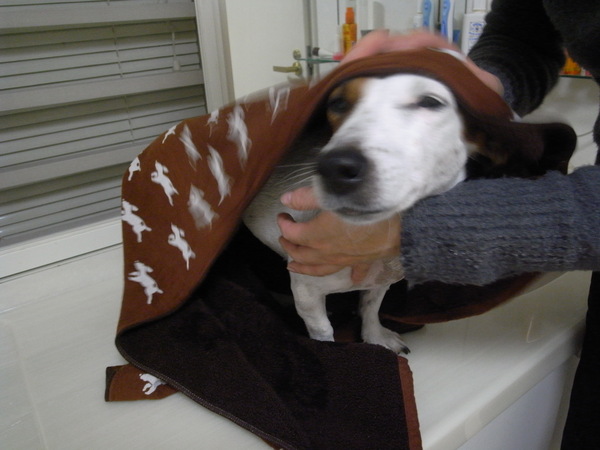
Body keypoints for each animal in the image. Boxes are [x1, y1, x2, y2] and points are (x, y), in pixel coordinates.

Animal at [243, 73, 493, 354]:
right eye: (338, 103)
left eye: (430, 102)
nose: (336, 166)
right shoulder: (307, 292)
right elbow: (323, 332)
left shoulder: (380, 281)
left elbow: (371, 308)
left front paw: (375, 337)